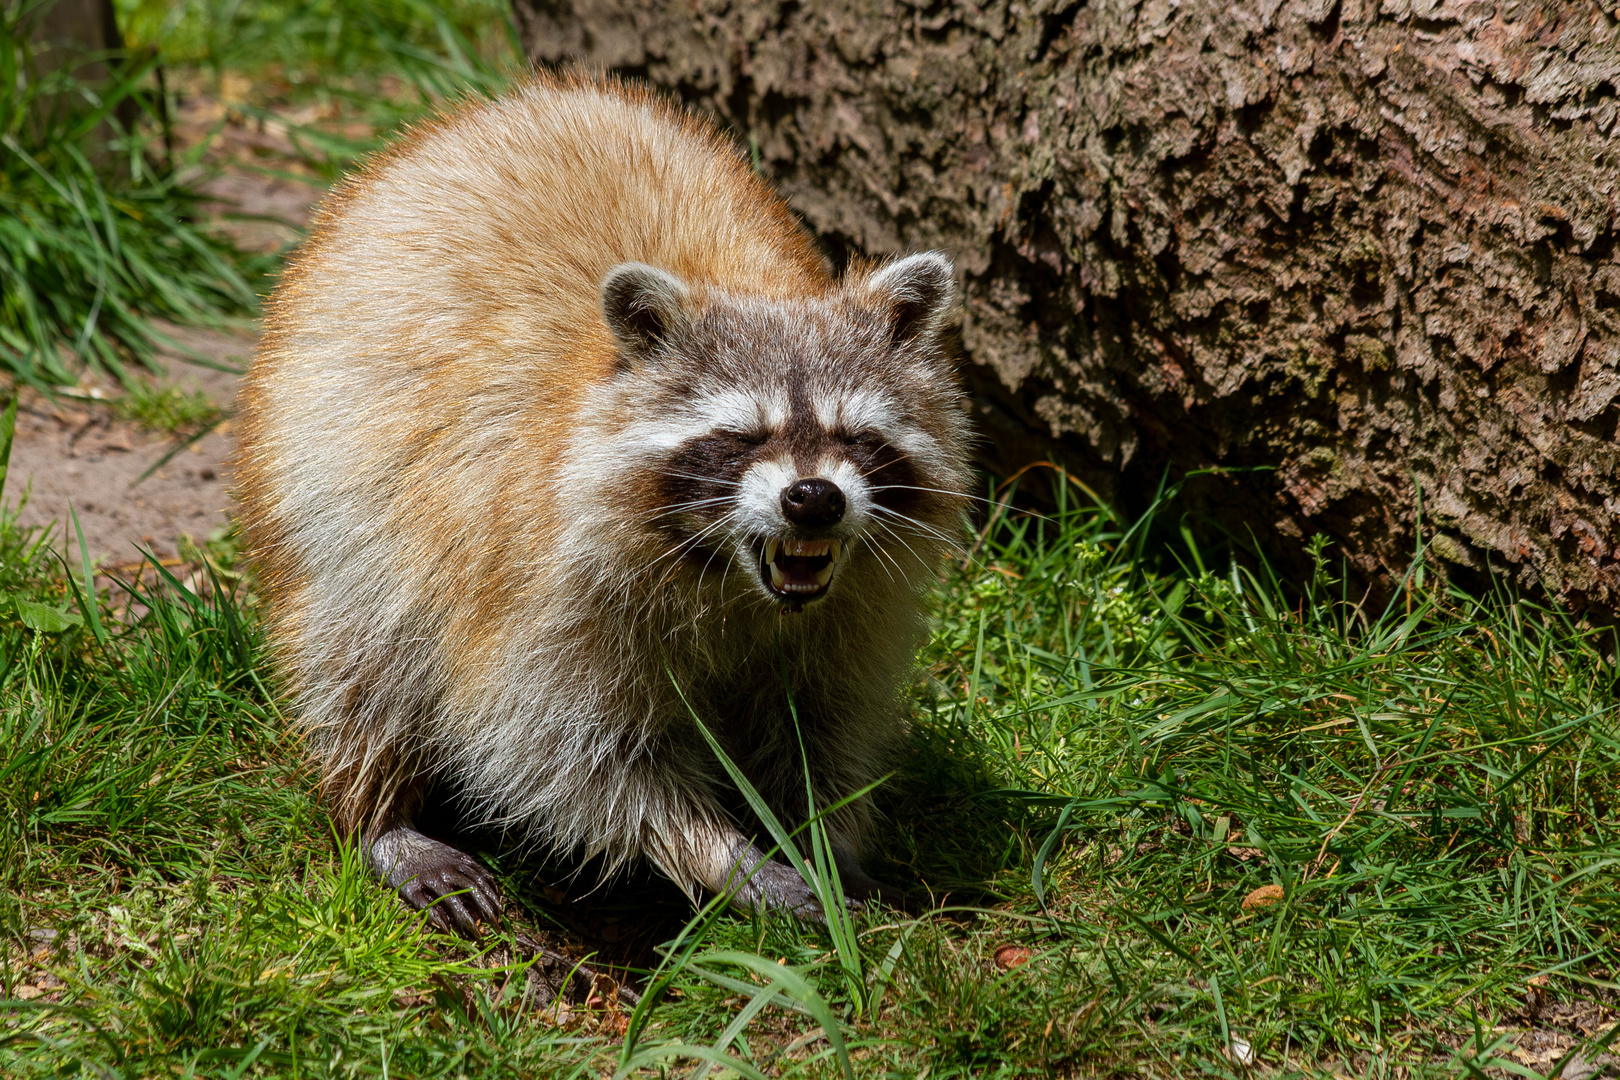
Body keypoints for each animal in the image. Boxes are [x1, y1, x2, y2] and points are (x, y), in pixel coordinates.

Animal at [236, 76, 972, 939]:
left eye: (854, 436)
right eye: (741, 437)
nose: (813, 500)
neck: (733, 584)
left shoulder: (853, 610)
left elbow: (817, 727)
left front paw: (823, 842)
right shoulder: (538, 577)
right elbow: (562, 751)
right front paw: (725, 856)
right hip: (322, 472)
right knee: (363, 648)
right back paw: (380, 810)